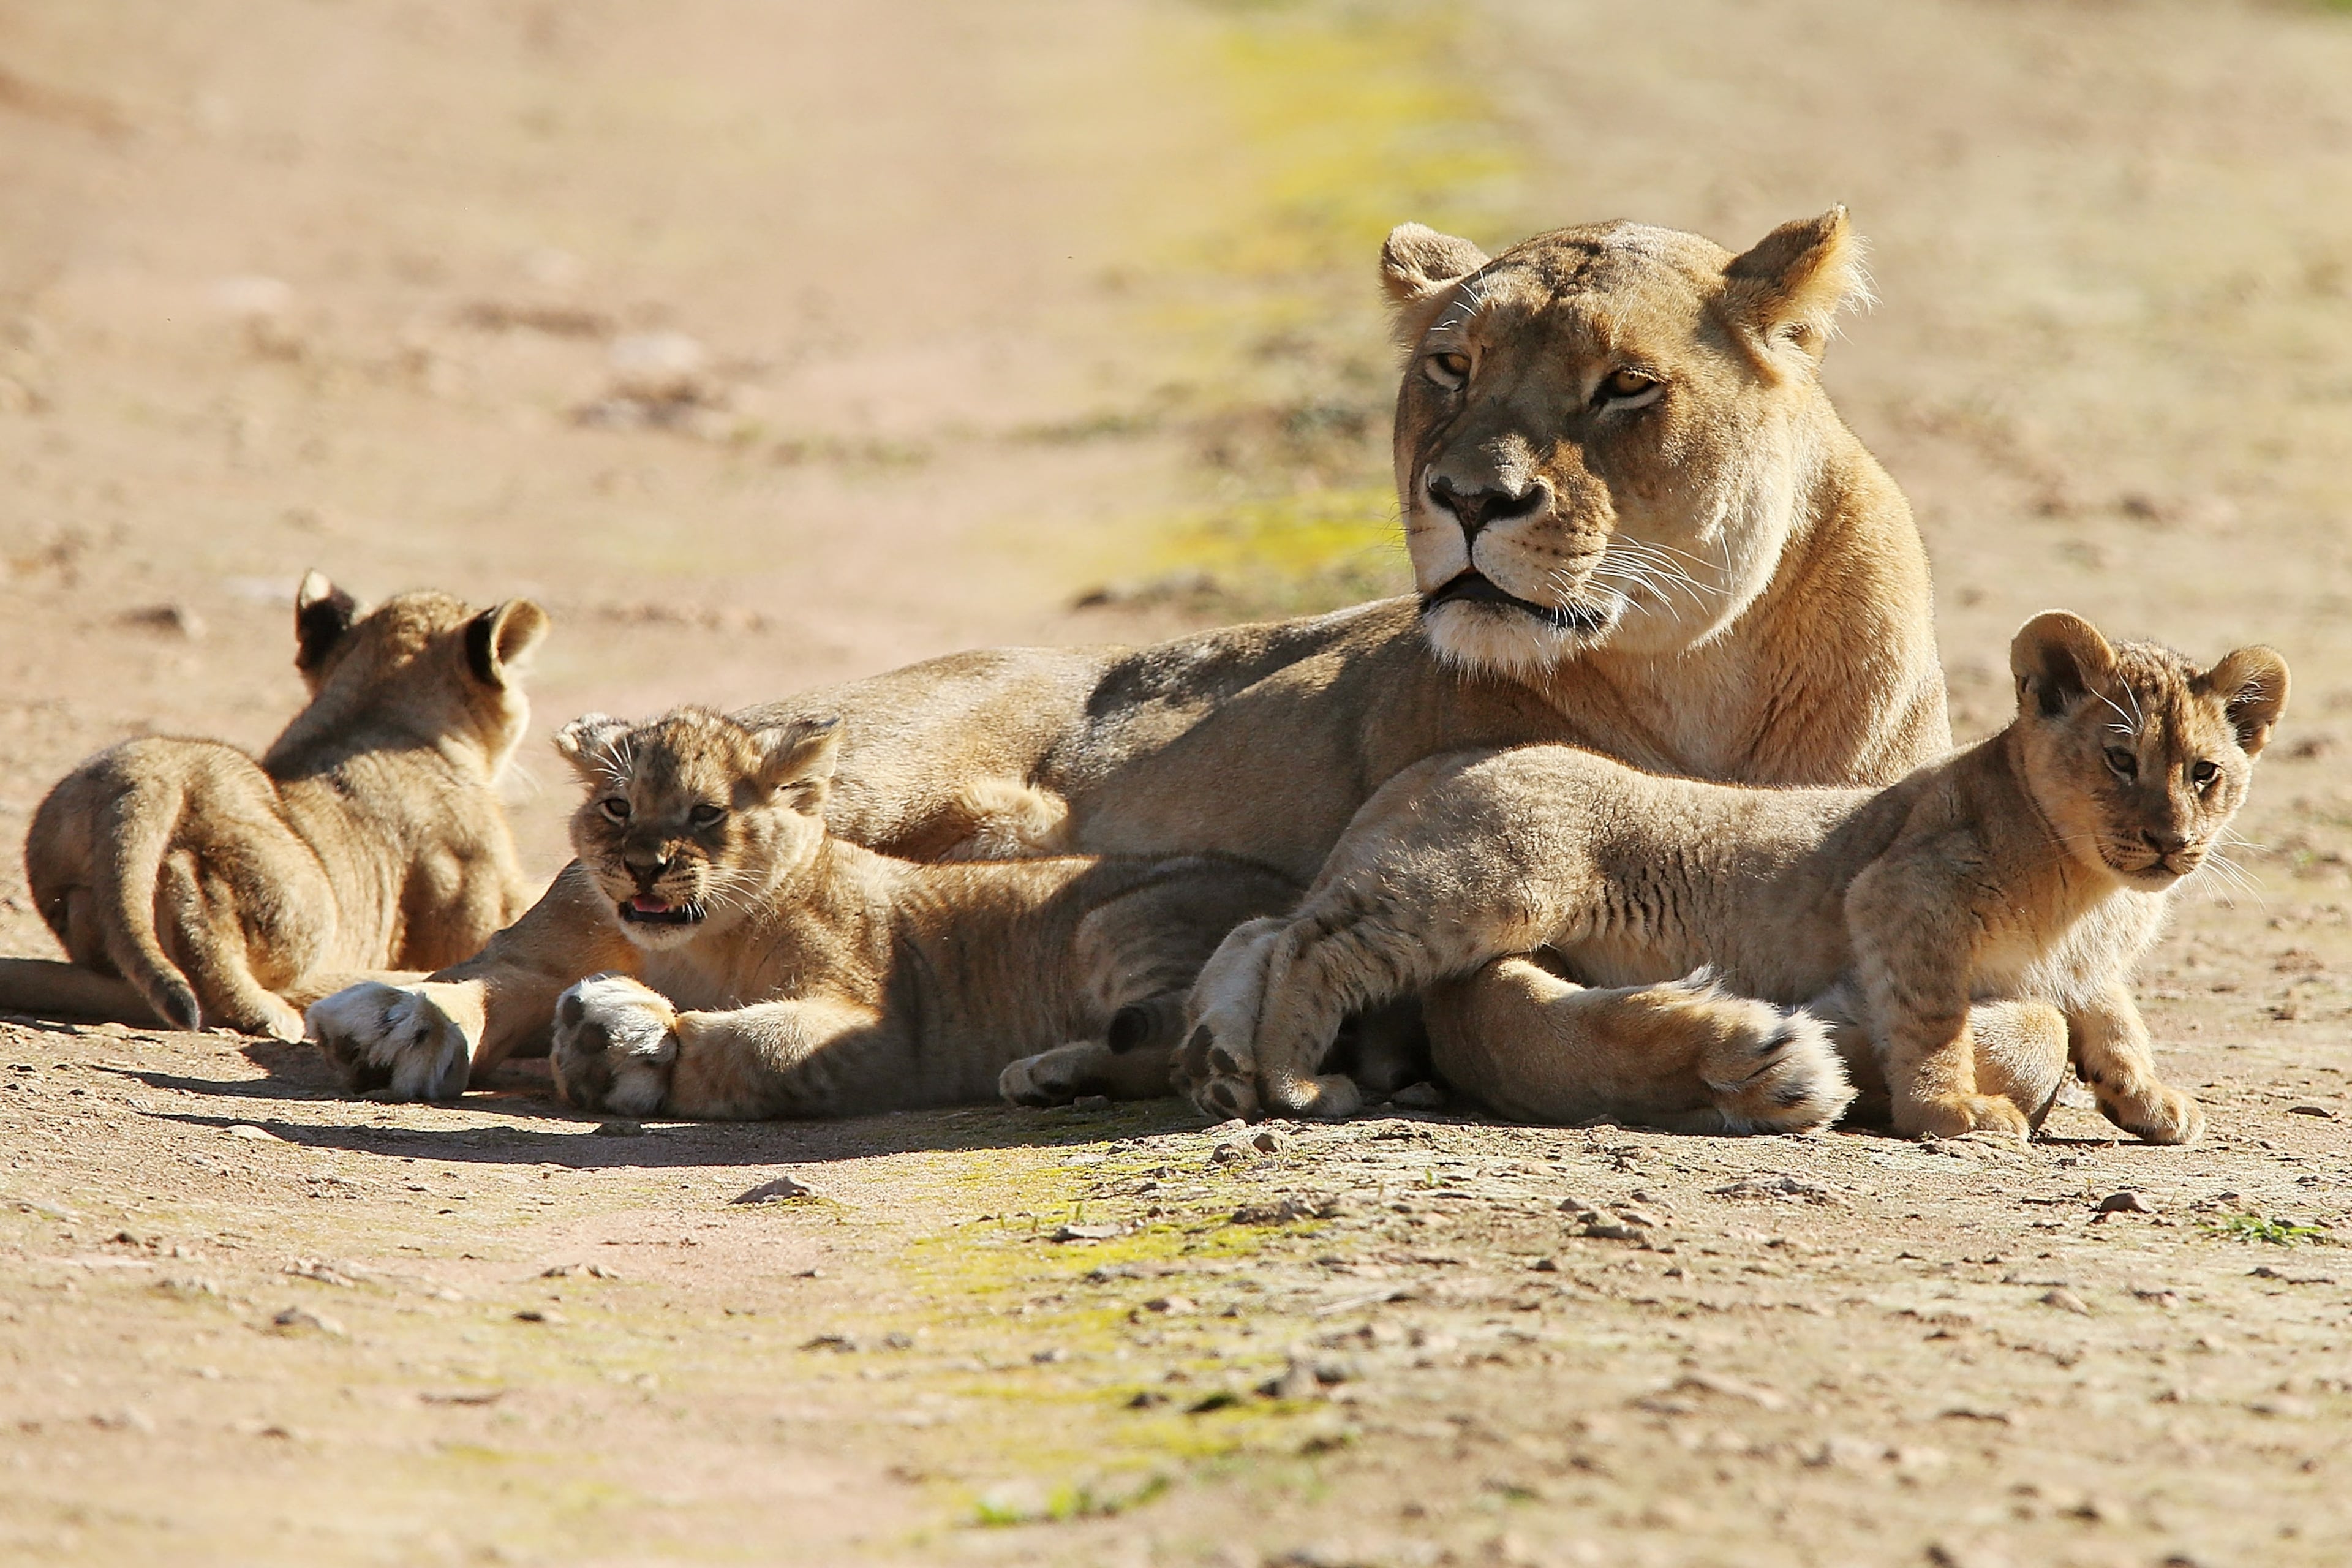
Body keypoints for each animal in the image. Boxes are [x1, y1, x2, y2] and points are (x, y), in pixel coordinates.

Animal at [0, 572, 547, 1046]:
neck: (378, 716)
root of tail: (143, 778)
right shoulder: (477, 899)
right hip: (305, 902)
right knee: (199, 911)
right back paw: (269, 1014)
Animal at [319, 705, 1294, 1118]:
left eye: (706, 813)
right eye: (618, 807)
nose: (640, 866)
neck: (698, 945)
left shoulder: (880, 1025)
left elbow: (758, 1045)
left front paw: (622, 1040)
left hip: (1121, 923)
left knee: (1176, 1043)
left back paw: (1049, 1070)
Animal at [1179, 612, 2285, 1141]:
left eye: (2205, 772)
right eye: (2120, 760)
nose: (2171, 841)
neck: (2092, 887)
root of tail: (1432, 766)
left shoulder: (2090, 970)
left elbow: (2115, 1027)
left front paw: (2154, 1105)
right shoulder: (1898, 898)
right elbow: (1935, 1021)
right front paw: (1952, 1116)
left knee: (1270, 929)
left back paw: (1225, 1059)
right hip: (1490, 880)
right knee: (1312, 945)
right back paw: (1292, 1079)